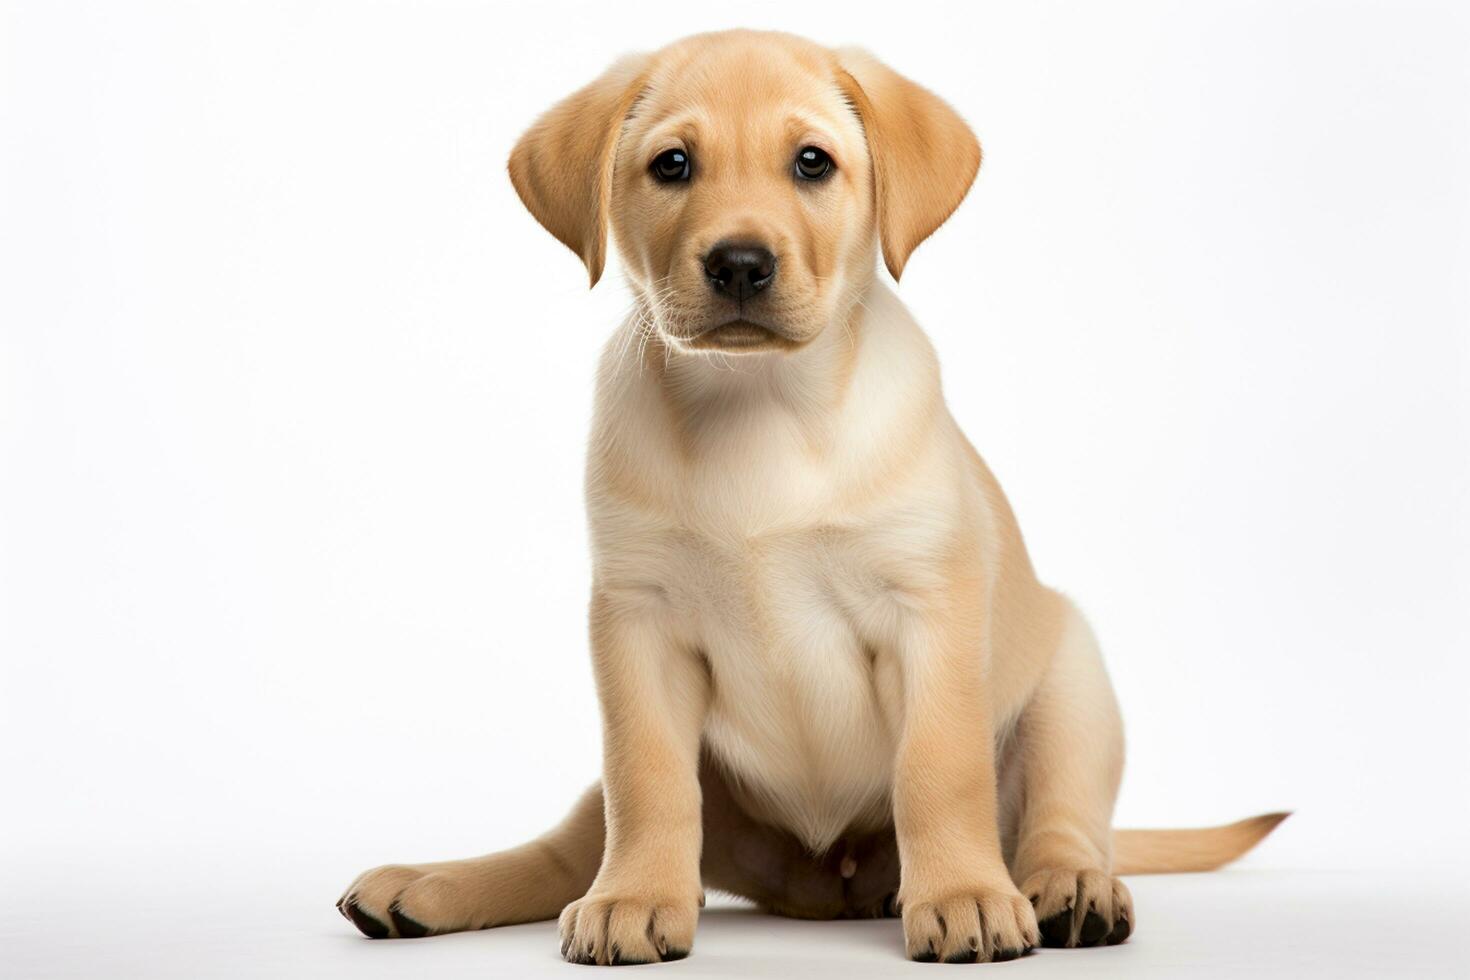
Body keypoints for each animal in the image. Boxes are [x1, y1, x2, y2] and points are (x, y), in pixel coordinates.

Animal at [338, 28, 1281, 963]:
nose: (739, 264)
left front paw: (965, 895)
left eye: (812, 163)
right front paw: (636, 898)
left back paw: (1066, 887)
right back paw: (432, 885)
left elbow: (938, 770)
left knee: (1063, 819)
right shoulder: (635, 620)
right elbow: (646, 780)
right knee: (569, 846)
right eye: (673, 164)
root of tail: (830, 888)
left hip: (1073, 683)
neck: (761, 403)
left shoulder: (927, 610)